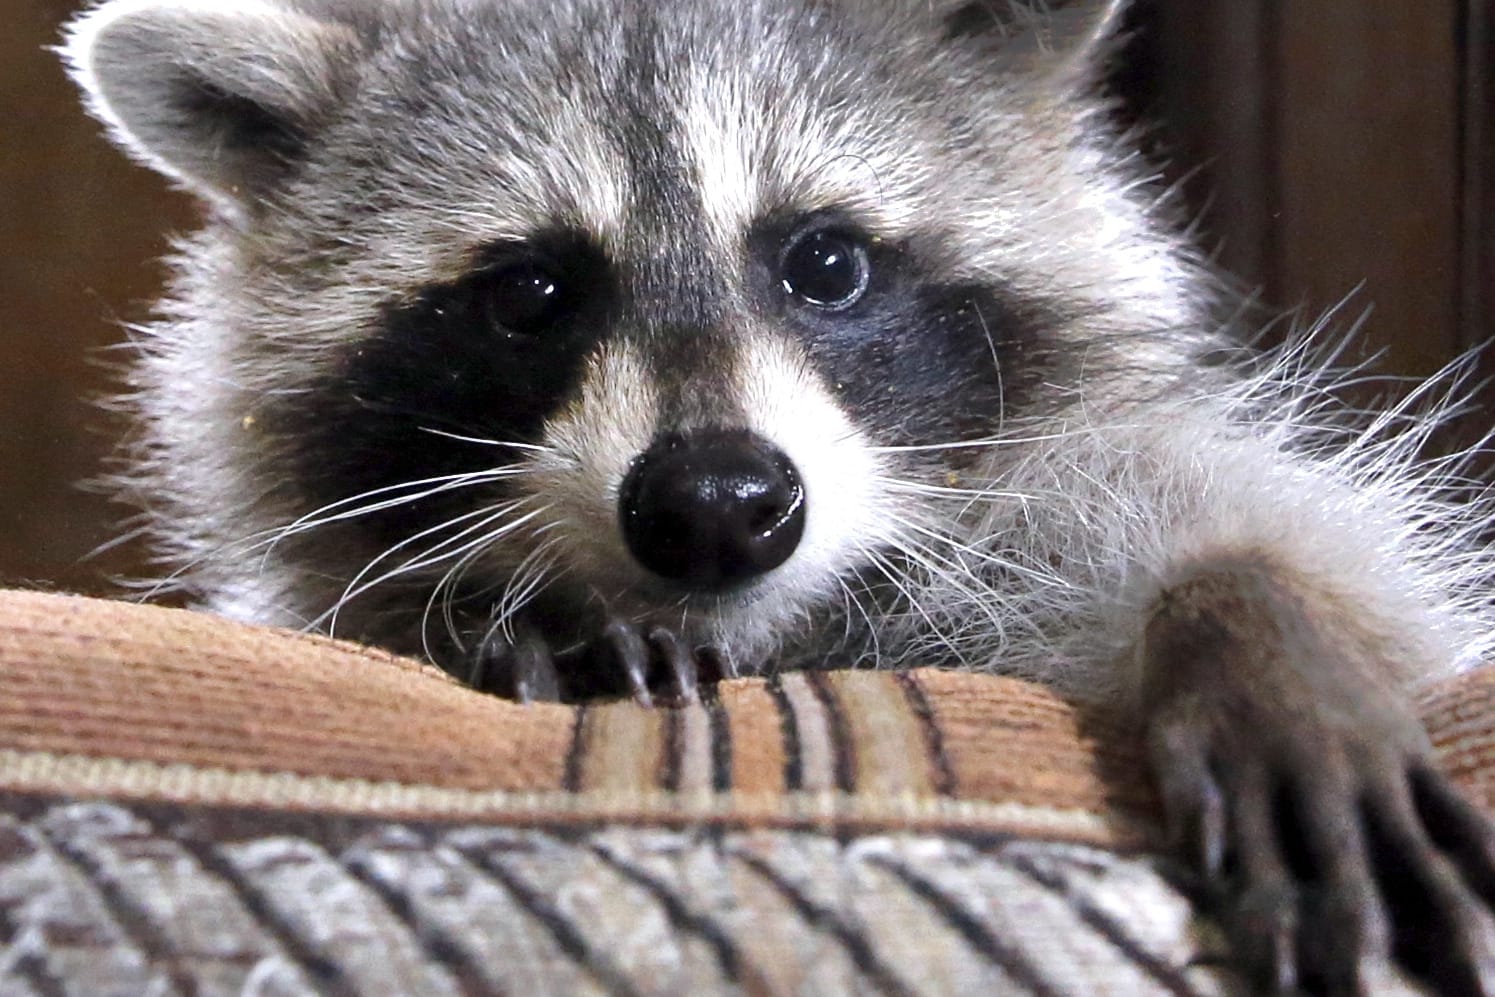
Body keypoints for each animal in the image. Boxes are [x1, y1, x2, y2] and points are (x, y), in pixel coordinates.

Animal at [64, 0, 1495, 992]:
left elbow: (1315, 563)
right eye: (530, 292)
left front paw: (1251, 617)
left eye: (826, 263)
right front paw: (506, 611)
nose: (715, 502)